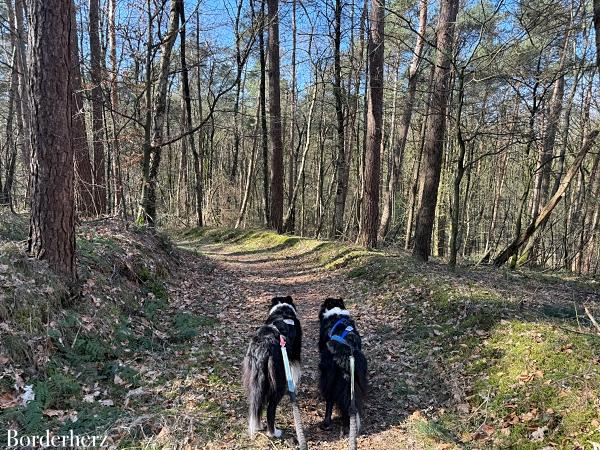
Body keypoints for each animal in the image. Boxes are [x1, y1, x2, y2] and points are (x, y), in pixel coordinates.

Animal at [241, 298, 302, 438]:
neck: (282, 310)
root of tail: (263, 348)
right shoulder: (294, 356)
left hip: (254, 379)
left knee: (256, 404)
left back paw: (258, 426)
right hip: (278, 382)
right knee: (270, 408)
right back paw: (274, 432)